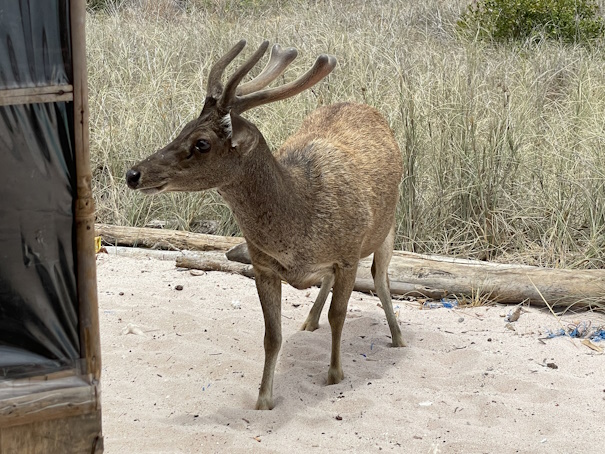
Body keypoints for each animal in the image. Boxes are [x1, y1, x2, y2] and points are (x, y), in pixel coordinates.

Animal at [125, 40, 404, 412]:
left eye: (202, 143)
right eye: (182, 128)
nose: (133, 173)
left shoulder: (347, 254)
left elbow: (339, 315)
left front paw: (335, 374)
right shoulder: (263, 265)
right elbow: (272, 336)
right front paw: (263, 398)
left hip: (388, 226)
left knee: (380, 278)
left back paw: (398, 337)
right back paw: (309, 321)